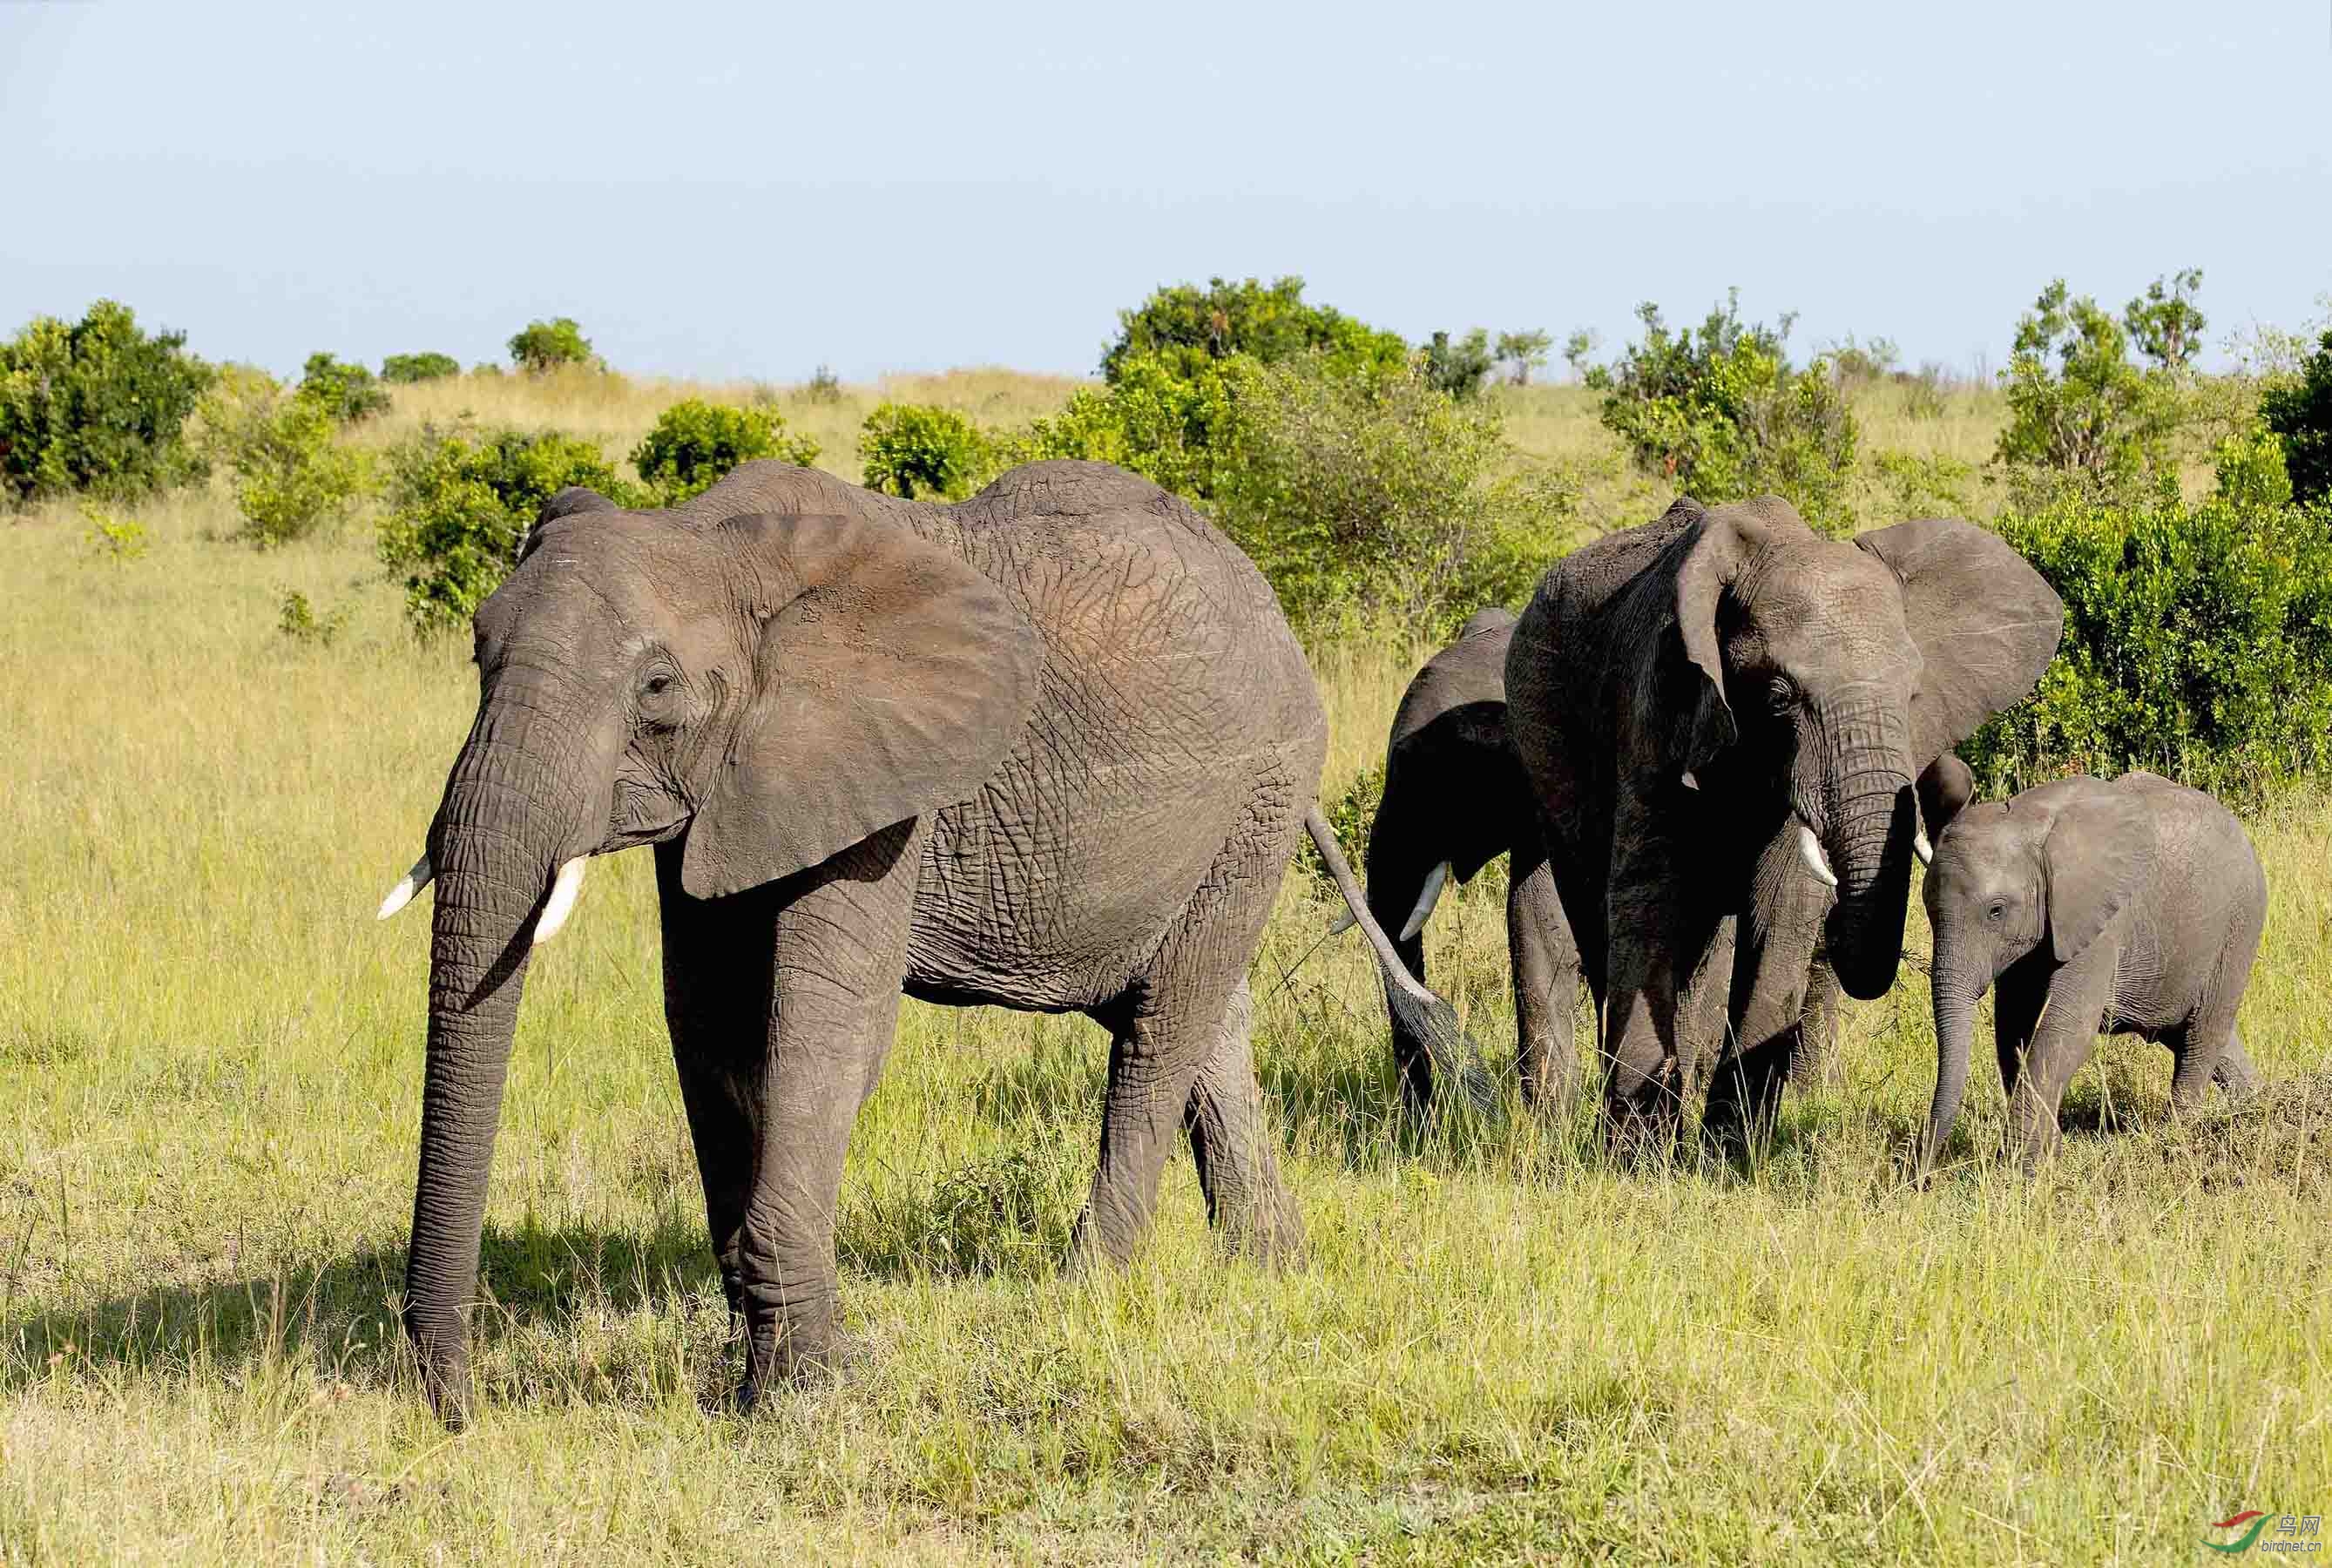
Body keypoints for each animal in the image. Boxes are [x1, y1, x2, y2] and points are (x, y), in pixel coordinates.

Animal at [373, 458, 1473, 1427]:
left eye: (655, 690)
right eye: (477, 653)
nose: (458, 1412)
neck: (720, 541)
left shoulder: (885, 786)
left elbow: (825, 1034)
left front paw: (800, 1395)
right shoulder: (732, 792)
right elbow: (708, 1027)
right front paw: (760, 1360)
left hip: (1263, 791)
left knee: (1163, 1029)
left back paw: (1083, 1295)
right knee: (1202, 1021)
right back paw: (1270, 1271)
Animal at [1503, 495, 2064, 1153]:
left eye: (1913, 695)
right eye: (1778, 697)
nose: (1950, 782)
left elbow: (1782, 908)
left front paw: (1729, 1151)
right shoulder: (1658, 695)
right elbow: (1653, 896)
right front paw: (1634, 1156)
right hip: (1544, 727)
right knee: (1591, 904)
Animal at [1915, 755, 2265, 1171]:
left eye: (1995, 911)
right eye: (1929, 910)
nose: (1920, 1175)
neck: (2028, 823)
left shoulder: (2099, 921)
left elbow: (2064, 1029)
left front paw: (2021, 1170)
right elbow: (2014, 1031)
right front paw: (2049, 1157)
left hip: (2239, 926)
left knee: (2202, 1036)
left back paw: (2180, 1139)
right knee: (2201, 1036)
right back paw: (2260, 1104)